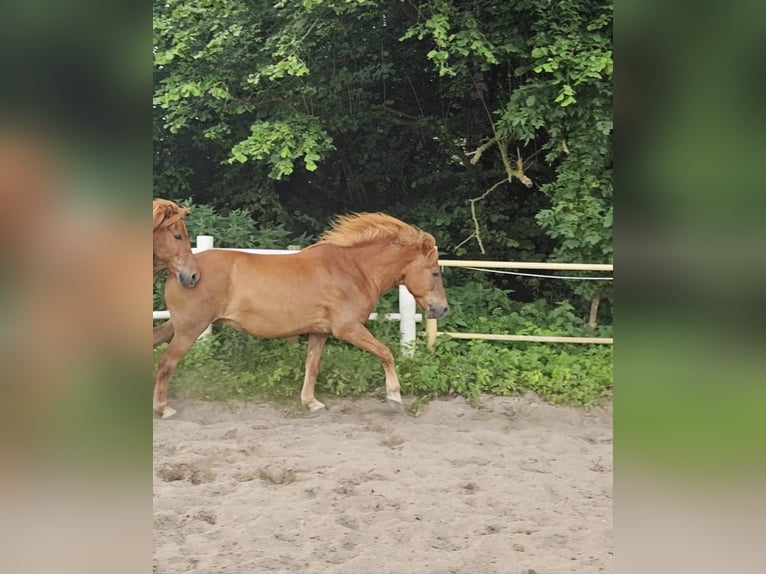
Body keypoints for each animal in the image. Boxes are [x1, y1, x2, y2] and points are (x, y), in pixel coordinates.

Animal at [153, 212, 449, 418]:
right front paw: (395, 398)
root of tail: (183, 271)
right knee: (166, 362)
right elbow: (386, 353)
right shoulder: (348, 328)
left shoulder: (319, 332)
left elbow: (312, 366)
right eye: (435, 272)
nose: (442, 309)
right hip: (189, 329)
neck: (353, 270)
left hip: (177, 326)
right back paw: (163, 408)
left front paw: (311, 402)